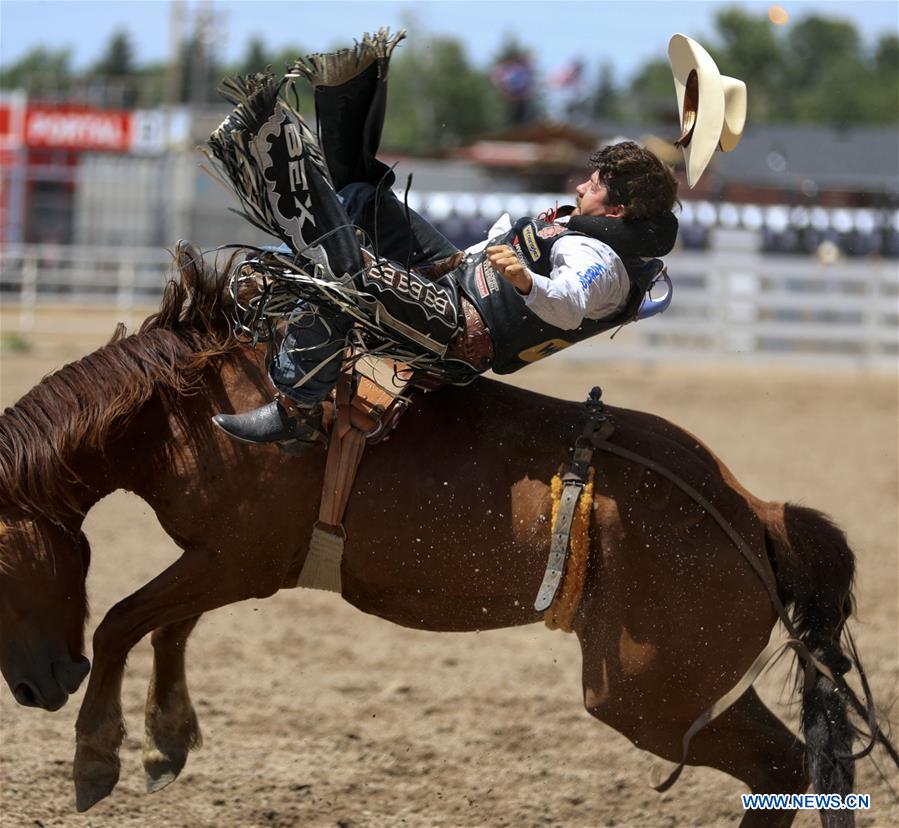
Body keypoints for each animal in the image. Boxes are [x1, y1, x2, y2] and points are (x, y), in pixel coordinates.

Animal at [0, 249, 888, 824]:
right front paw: (166, 741)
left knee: (778, 765)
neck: (188, 409)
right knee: (789, 766)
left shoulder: (237, 560)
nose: (38, 688)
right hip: (688, 689)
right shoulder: (221, 564)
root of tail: (751, 513)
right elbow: (167, 628)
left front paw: (96, 758)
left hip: (651, 698)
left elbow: (123, 621)